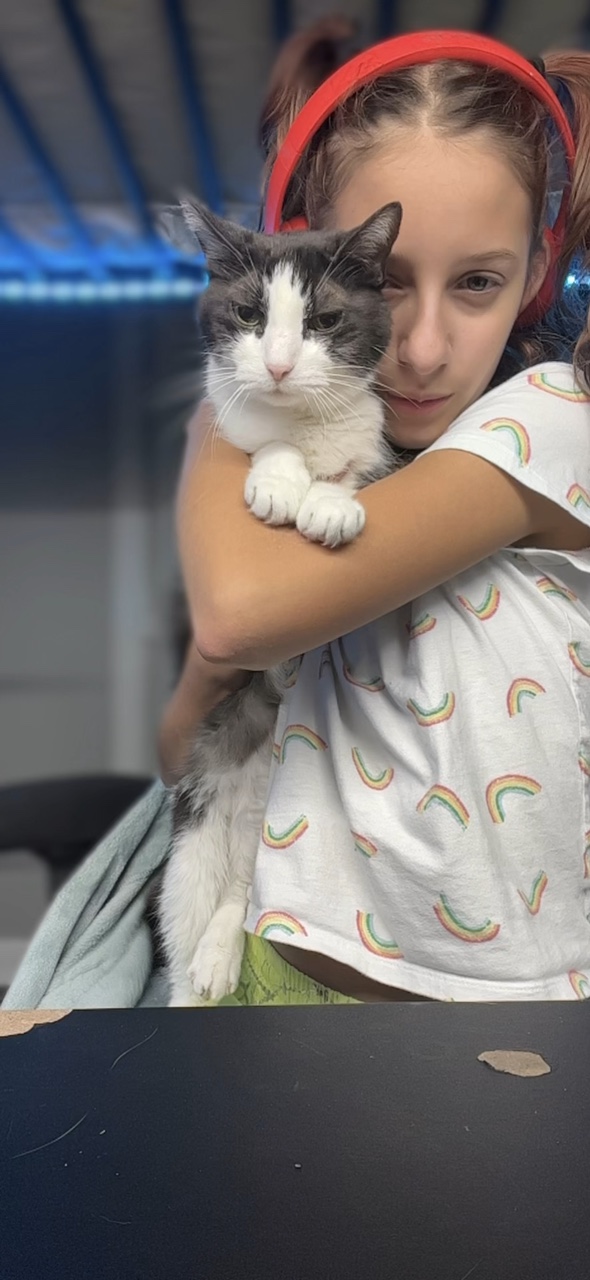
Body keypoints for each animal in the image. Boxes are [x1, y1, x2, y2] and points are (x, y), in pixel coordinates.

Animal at [158, 195, 401, 1005]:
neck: (307, 420)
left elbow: (363, 470)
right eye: (249, 313)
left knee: (242, 895)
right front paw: (280, 479)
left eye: (324, 320)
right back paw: (199, 970)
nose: (279, 364)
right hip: (195, 822)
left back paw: (221, 950)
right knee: (192, 913)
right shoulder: (227, 423)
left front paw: (331, 501)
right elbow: (260, 441)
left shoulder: (382, 441)